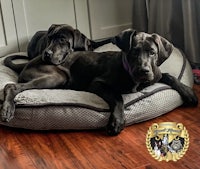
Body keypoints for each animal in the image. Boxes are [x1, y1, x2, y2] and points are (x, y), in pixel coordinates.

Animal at [1, 28, 198, 135]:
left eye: (152, 52)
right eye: (133, 51)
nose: (143, 71)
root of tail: (33, 59)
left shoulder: (155, 74)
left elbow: (170, 76)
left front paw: (189, 93)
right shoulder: (97, 83)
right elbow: (118, 97)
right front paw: (117, 121)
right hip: (56, 76)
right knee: (12, 86)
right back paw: (7, 109)